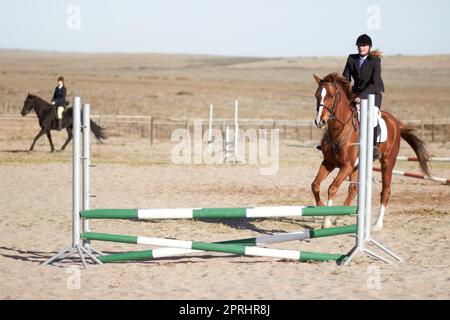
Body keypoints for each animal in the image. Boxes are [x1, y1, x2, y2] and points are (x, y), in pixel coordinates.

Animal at [310, 73, 428, 230]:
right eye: (317, 95)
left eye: (331, 96)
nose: (320, 122)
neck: (338, 130)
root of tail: (396, 122)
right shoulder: (329, 163)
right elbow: (315, 185)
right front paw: (322, 209)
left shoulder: (346, 165)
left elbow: (332, 188)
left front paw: (326, 221)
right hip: (357, 167)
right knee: (353, 188)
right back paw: (340, 217)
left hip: (387, 163)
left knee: (385, 191)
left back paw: (377, 224)